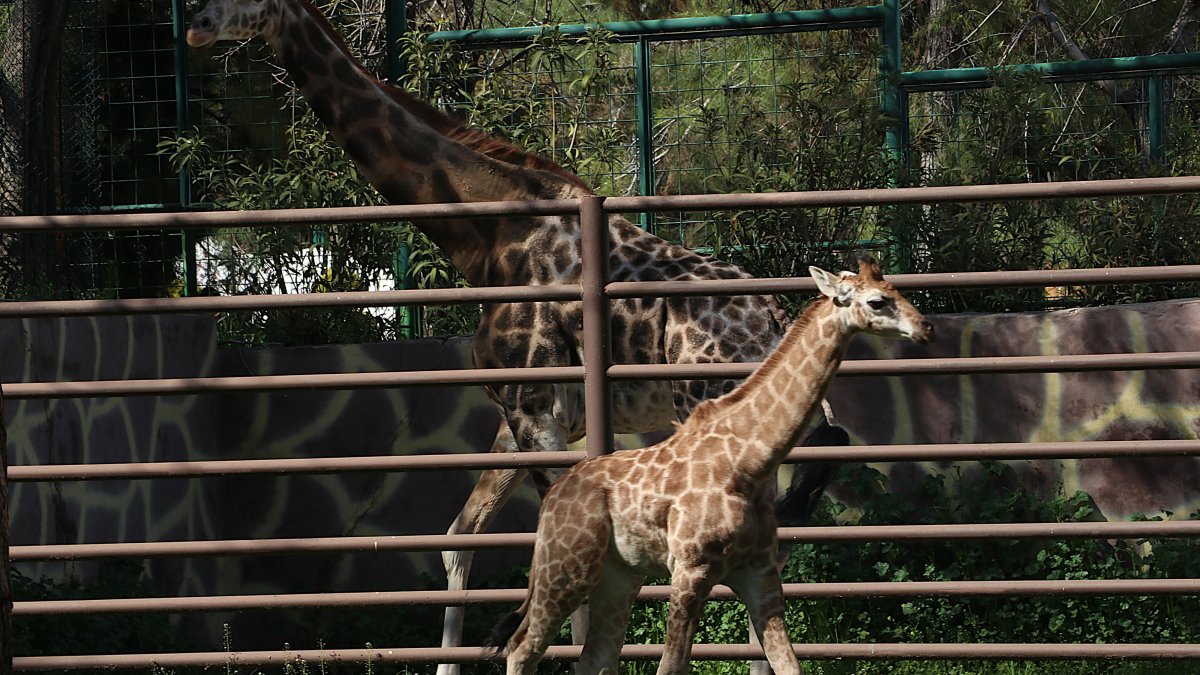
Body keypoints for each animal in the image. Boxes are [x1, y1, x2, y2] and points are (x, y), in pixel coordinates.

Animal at [186, 1, 796, 665]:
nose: (193, 26)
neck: (486, 236)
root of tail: (773, 316)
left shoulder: (534, 410)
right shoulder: (520, 417)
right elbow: (459, 537)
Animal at [488, 256, 933, 675]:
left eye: (895, 289)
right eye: (877, 301)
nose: (925, 326)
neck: (749, 462)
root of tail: (552, 499)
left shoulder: (759, 572)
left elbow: (788, 663)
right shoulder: (691, 568)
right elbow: (671, 665)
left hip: (618, 574)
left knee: (594, 657)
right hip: (565, 567)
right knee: (523, 647)